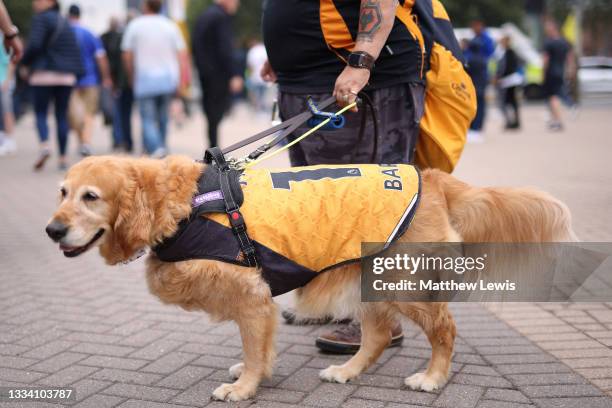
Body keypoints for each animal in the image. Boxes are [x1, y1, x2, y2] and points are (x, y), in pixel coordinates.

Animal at [46, 156, 572, 402]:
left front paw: (244, 388)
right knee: (376, 336)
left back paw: (433, 378)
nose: (52, 230)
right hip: (369, 279)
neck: (185, 206)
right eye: (63, 192)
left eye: (91, 197)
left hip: (403, 283)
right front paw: (250, 374)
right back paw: (348, 371)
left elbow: (253, 346)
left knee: (444, 329)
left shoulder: (252, 294)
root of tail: (434, 179)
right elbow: (255, 347)